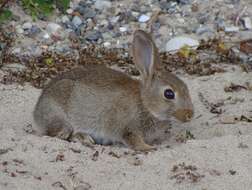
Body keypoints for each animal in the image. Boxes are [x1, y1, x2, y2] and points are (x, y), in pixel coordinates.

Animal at [33, 30, 194, 151]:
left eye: (186, 87)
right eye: (169, 94)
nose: (190, 115)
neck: (145, 103)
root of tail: (37, 112)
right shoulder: (129, 128)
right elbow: (134, 141)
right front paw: (149, 148)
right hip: (59, 116)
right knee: (60, 134)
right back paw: (83, 137)